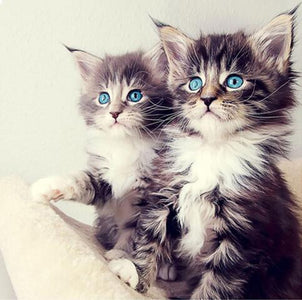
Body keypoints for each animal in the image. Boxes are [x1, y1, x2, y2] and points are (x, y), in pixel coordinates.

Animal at [32, 44, 172, 260]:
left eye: (135, 95)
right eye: (103, 98)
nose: (114, 113)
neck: (126, 144)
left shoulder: (150, 194)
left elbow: (137, 233)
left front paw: (120, 258)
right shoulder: (105, 178)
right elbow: (82, 180)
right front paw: (48, 186)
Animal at [109, 8, 302, 298]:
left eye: (234, 81)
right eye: (194, 83)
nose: (207, 99)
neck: (214, 147)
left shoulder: (240, 231)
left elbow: (216, 283)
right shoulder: (163, 196)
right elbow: (149, 240)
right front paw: (137, 274)